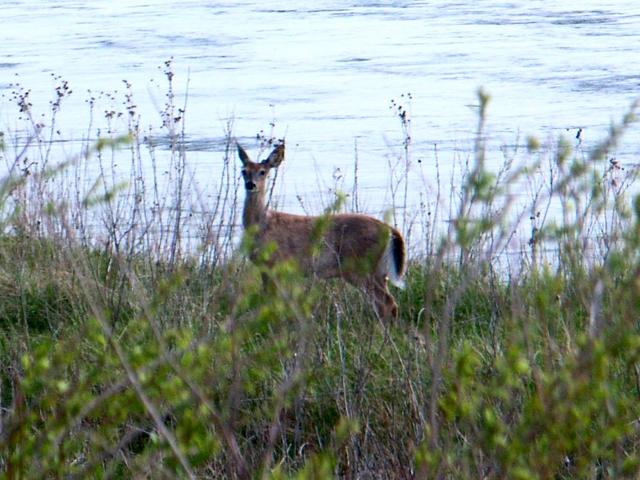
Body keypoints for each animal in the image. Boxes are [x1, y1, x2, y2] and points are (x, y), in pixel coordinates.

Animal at [238, 142, 408, 322]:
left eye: (263, 172)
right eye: (244, 171)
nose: (250, 184)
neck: (262, 224)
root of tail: (390, 230)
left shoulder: (272, 262)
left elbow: (270, 302)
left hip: (360, 266)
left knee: (387, 303)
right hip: (378, 270)